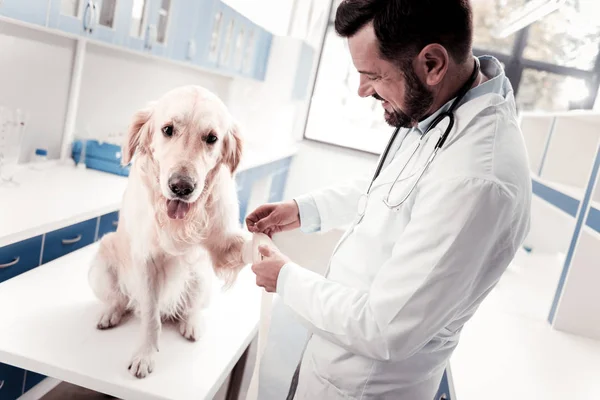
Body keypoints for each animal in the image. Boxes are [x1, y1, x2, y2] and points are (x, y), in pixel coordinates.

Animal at [86, 85, 251, 378]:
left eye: (212, 138)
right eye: (167, 129)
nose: (181, 187)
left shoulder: (224, 241)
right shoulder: (147, 261)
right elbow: (151, 317)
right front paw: (145, 355)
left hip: (201, 277)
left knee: (191, 307)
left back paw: (191, 323)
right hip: (102, 262)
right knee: (119, 300)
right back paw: (109, 314)